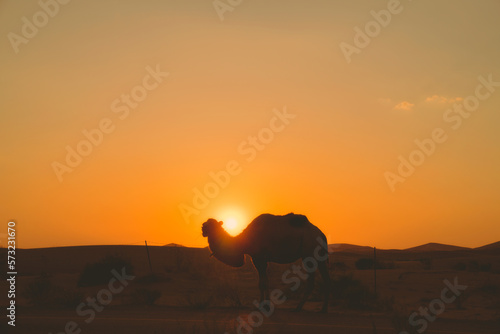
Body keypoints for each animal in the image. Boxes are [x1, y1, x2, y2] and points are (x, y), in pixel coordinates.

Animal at [201, 213, 330, 312]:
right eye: (205, 224)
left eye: (211, 225)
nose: (202, 229)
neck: (245, 241)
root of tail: (322, 235)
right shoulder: (257, 259)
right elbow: (263, 283)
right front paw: (263, 304)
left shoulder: (260, 259)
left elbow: (263, 283)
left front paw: (264, 305)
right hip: (317, 257)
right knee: (325, 279)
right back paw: (323, 309)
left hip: (309, 254)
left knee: (313, 282)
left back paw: (300, 307)